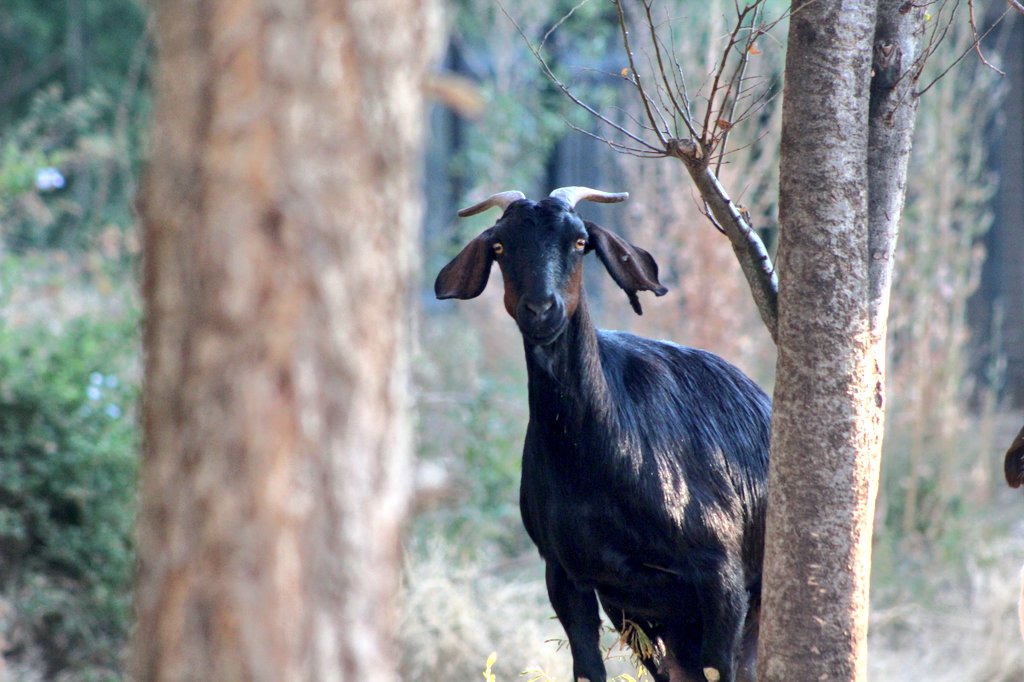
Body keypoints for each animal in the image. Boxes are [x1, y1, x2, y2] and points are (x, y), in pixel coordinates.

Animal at [435, 187, 771, 682]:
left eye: (580, 242)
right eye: (499, 246)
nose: (542, 310)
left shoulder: (722, 577)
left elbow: (722, 671)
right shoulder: (568, 573)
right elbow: (588, 669)